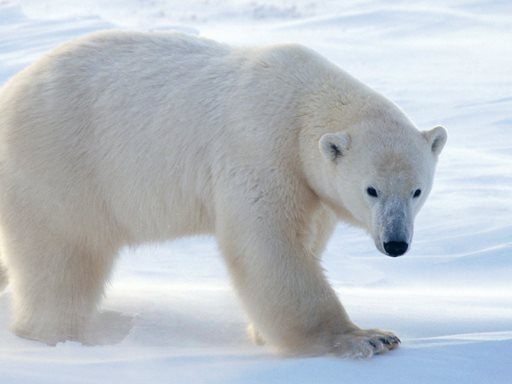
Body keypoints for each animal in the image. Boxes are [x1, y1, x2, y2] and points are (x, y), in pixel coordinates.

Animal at [0, 31, 444, 358]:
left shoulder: (309, 185)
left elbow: (307, 237)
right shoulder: (260, 150)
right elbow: (269, 247)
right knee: (63, 260)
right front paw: (367, 337)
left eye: (417, 190)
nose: (396, 243)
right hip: (61, 167)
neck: (302, 104)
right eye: (372, 190)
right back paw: (59, 336)